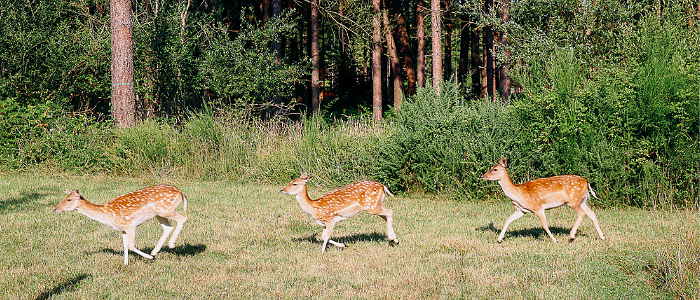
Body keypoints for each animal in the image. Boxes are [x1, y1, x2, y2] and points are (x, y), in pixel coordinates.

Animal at [54, 185, 187, 264]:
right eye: (64, 197)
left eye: (69, 200)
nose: (55, 208)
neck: (107, 215)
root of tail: (181, 192)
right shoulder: (122, 229)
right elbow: (125, 246)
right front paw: (126, 263)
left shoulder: (130, 226)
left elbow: (131, 246)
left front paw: (149, 258)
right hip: (159, 214)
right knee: (168, 227)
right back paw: (155, 251)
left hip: (166, 210)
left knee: (183, 218)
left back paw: (170, 246)